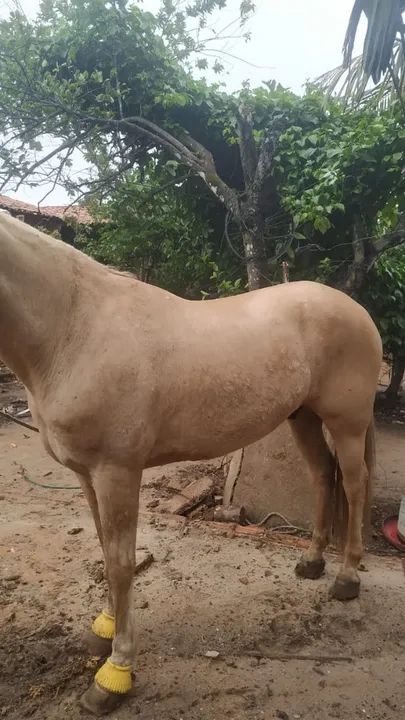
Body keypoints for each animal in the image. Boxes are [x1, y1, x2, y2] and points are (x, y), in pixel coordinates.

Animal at [0, 211, 382, 715]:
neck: (73, 331)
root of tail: (356, 309)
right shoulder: (86, 474)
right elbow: (104, 549)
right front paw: (105, 629)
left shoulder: (117, 472)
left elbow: (120, 562)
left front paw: (115, 674)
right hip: (302, 417)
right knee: (323, 476)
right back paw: (312, 562)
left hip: (347, 423)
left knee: (354, 487)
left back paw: (346, 577)